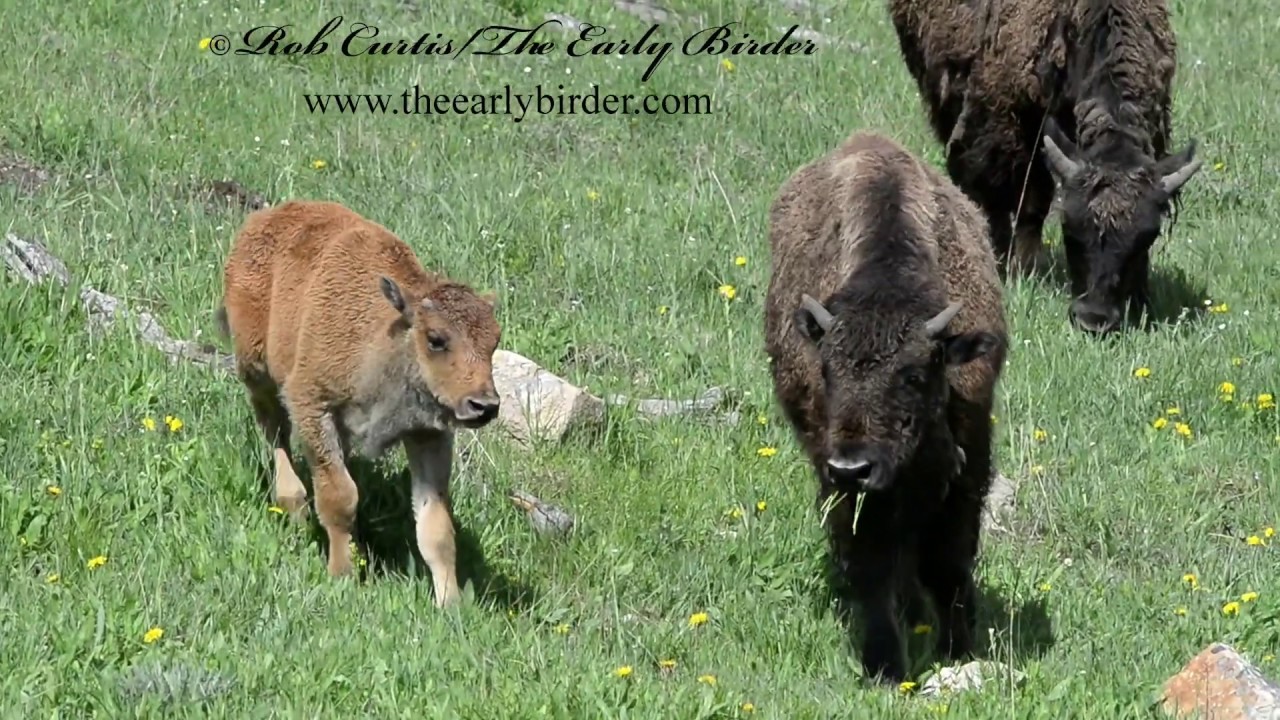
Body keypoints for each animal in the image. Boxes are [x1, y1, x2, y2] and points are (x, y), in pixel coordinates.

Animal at [214, 200, 502, 608]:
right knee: (275, 432)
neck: (390, 337)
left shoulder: (428, 434)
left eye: (495, 340)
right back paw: (294, 506)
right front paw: (342, 575)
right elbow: (339, 496)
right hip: (256, 369)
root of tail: (263, 219)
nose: (485, 405)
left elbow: (436, 526)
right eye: (436, 339)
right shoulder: (313, 405)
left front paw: (451, 603)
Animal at [763, 131, 1008, 684]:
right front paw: (884, 666)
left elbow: (949, 561)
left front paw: (958, 649)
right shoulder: (843, 482)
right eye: (826, 372)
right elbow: (870, 560)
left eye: (914, 375)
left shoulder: (967, 460)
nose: (852, 467)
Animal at [888, 0, 1204, 334]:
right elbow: (1027, 204)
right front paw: (1021, 270)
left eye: (1147, 237)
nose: (1094, 319)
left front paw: (1142, 296)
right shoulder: (1014, 124)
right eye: (1069, 229)